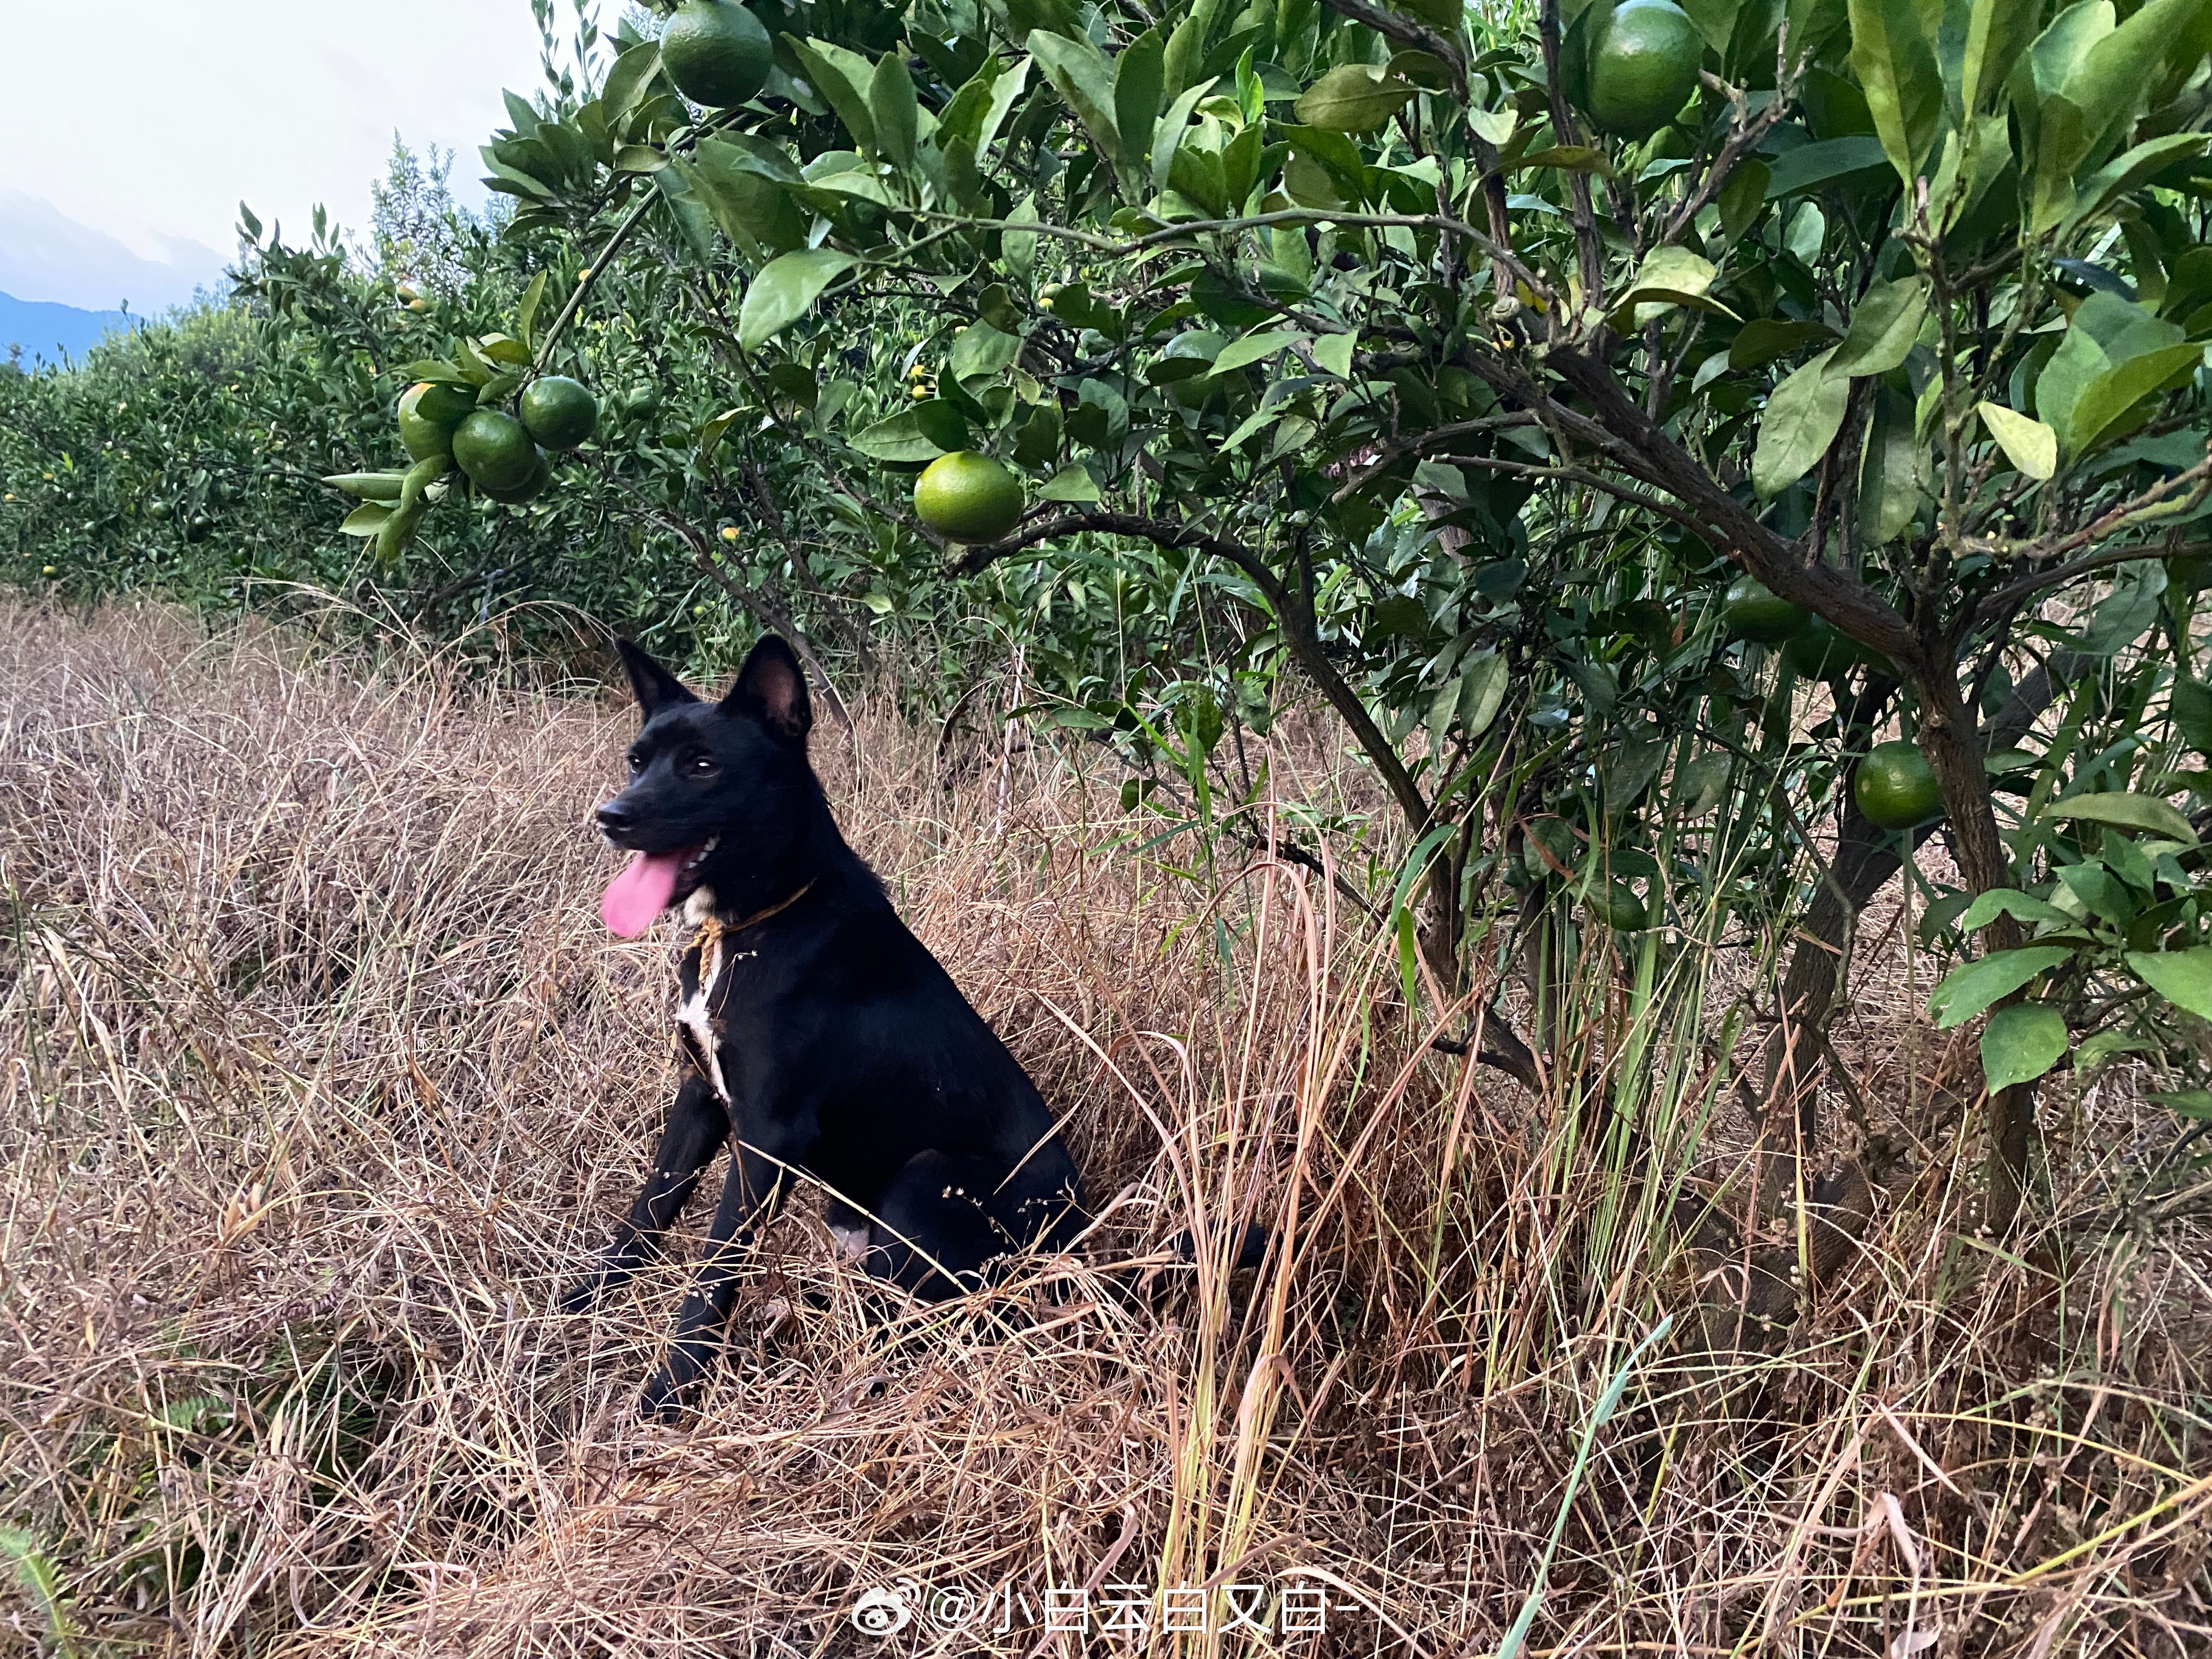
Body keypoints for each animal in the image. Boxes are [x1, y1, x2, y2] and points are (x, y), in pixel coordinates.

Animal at [562, 637, 1088, 1415]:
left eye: (702, 765)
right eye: (637, 760)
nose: (611, 816)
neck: (749, 926)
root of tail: (1084, 1241)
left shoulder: (769, 1136)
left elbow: (716, 1270)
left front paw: (672, 1389)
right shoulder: (700, 1096)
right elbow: (648, 1210)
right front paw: (588, 1297)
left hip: (926, 1180)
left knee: (925, 1322)